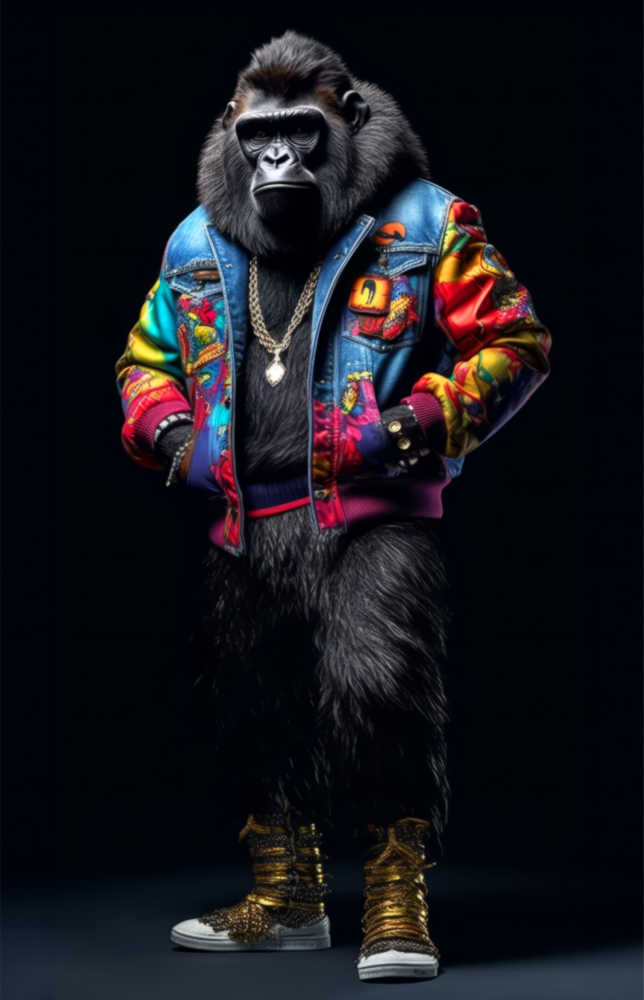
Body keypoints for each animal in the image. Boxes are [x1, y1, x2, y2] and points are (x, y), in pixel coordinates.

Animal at [116, 31, 551, 980]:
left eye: (302, 129)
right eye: (257, 133)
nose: (276, 158)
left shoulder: (457, 225)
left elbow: (509, 337)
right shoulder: (184, 248)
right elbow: (146, 358)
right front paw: (181, 440)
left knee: (379, 698)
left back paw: (394, 925)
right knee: (253, 707)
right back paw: (283, 906)